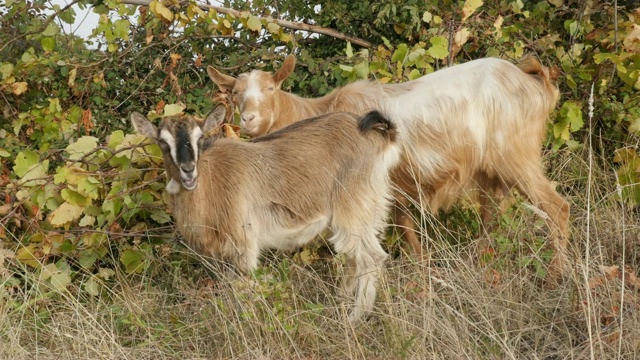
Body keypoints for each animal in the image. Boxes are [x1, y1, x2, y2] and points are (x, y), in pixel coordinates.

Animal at [130, 106, 400, 320]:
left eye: (199, 138)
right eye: (163, 142)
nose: (188, 170)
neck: (210, 183)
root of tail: (379, 135)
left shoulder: (243, 244)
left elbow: (245, 289)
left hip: (353, 209)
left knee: (371, 258)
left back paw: (354, 318)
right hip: (367, 211)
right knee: (354, 260)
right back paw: (340, 302)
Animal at [206, 55, 568, 282]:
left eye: (271, 88)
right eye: (235, 93)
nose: (248, 119)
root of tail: (536, 83)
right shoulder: (394, 186)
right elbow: (406, 227)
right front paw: (422, 273)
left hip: (516, 154)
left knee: (556, 207)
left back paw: (555, 278)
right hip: (492, 171)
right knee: (491, 216)